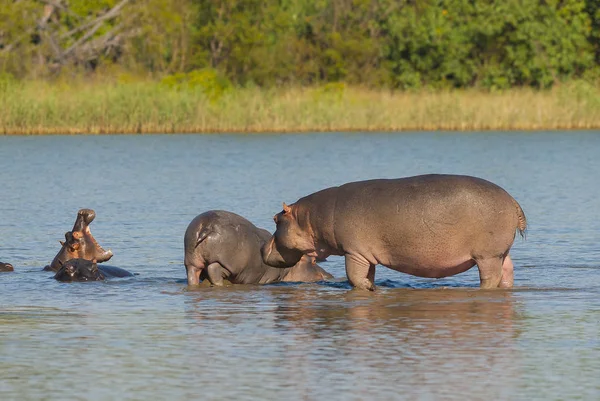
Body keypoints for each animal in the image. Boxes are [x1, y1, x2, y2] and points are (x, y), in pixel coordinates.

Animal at [183, 209, 332, 284]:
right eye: (313, 261)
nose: (330, 275)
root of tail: (206, 226)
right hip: (229, 264)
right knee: (214, 269)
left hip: (192, 260)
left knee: (193, 273)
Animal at [262, 173, 524, 290]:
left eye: (275, 219)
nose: (262, 246)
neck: (311, 218)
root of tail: (513, 201)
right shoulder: (367, 255)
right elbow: (367, 275)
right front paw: (373, 286)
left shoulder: (354, 251)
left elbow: (354, 277)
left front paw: (370, 289)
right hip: (501, 253)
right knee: (507, 272)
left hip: (487, 256)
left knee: (490, 278)